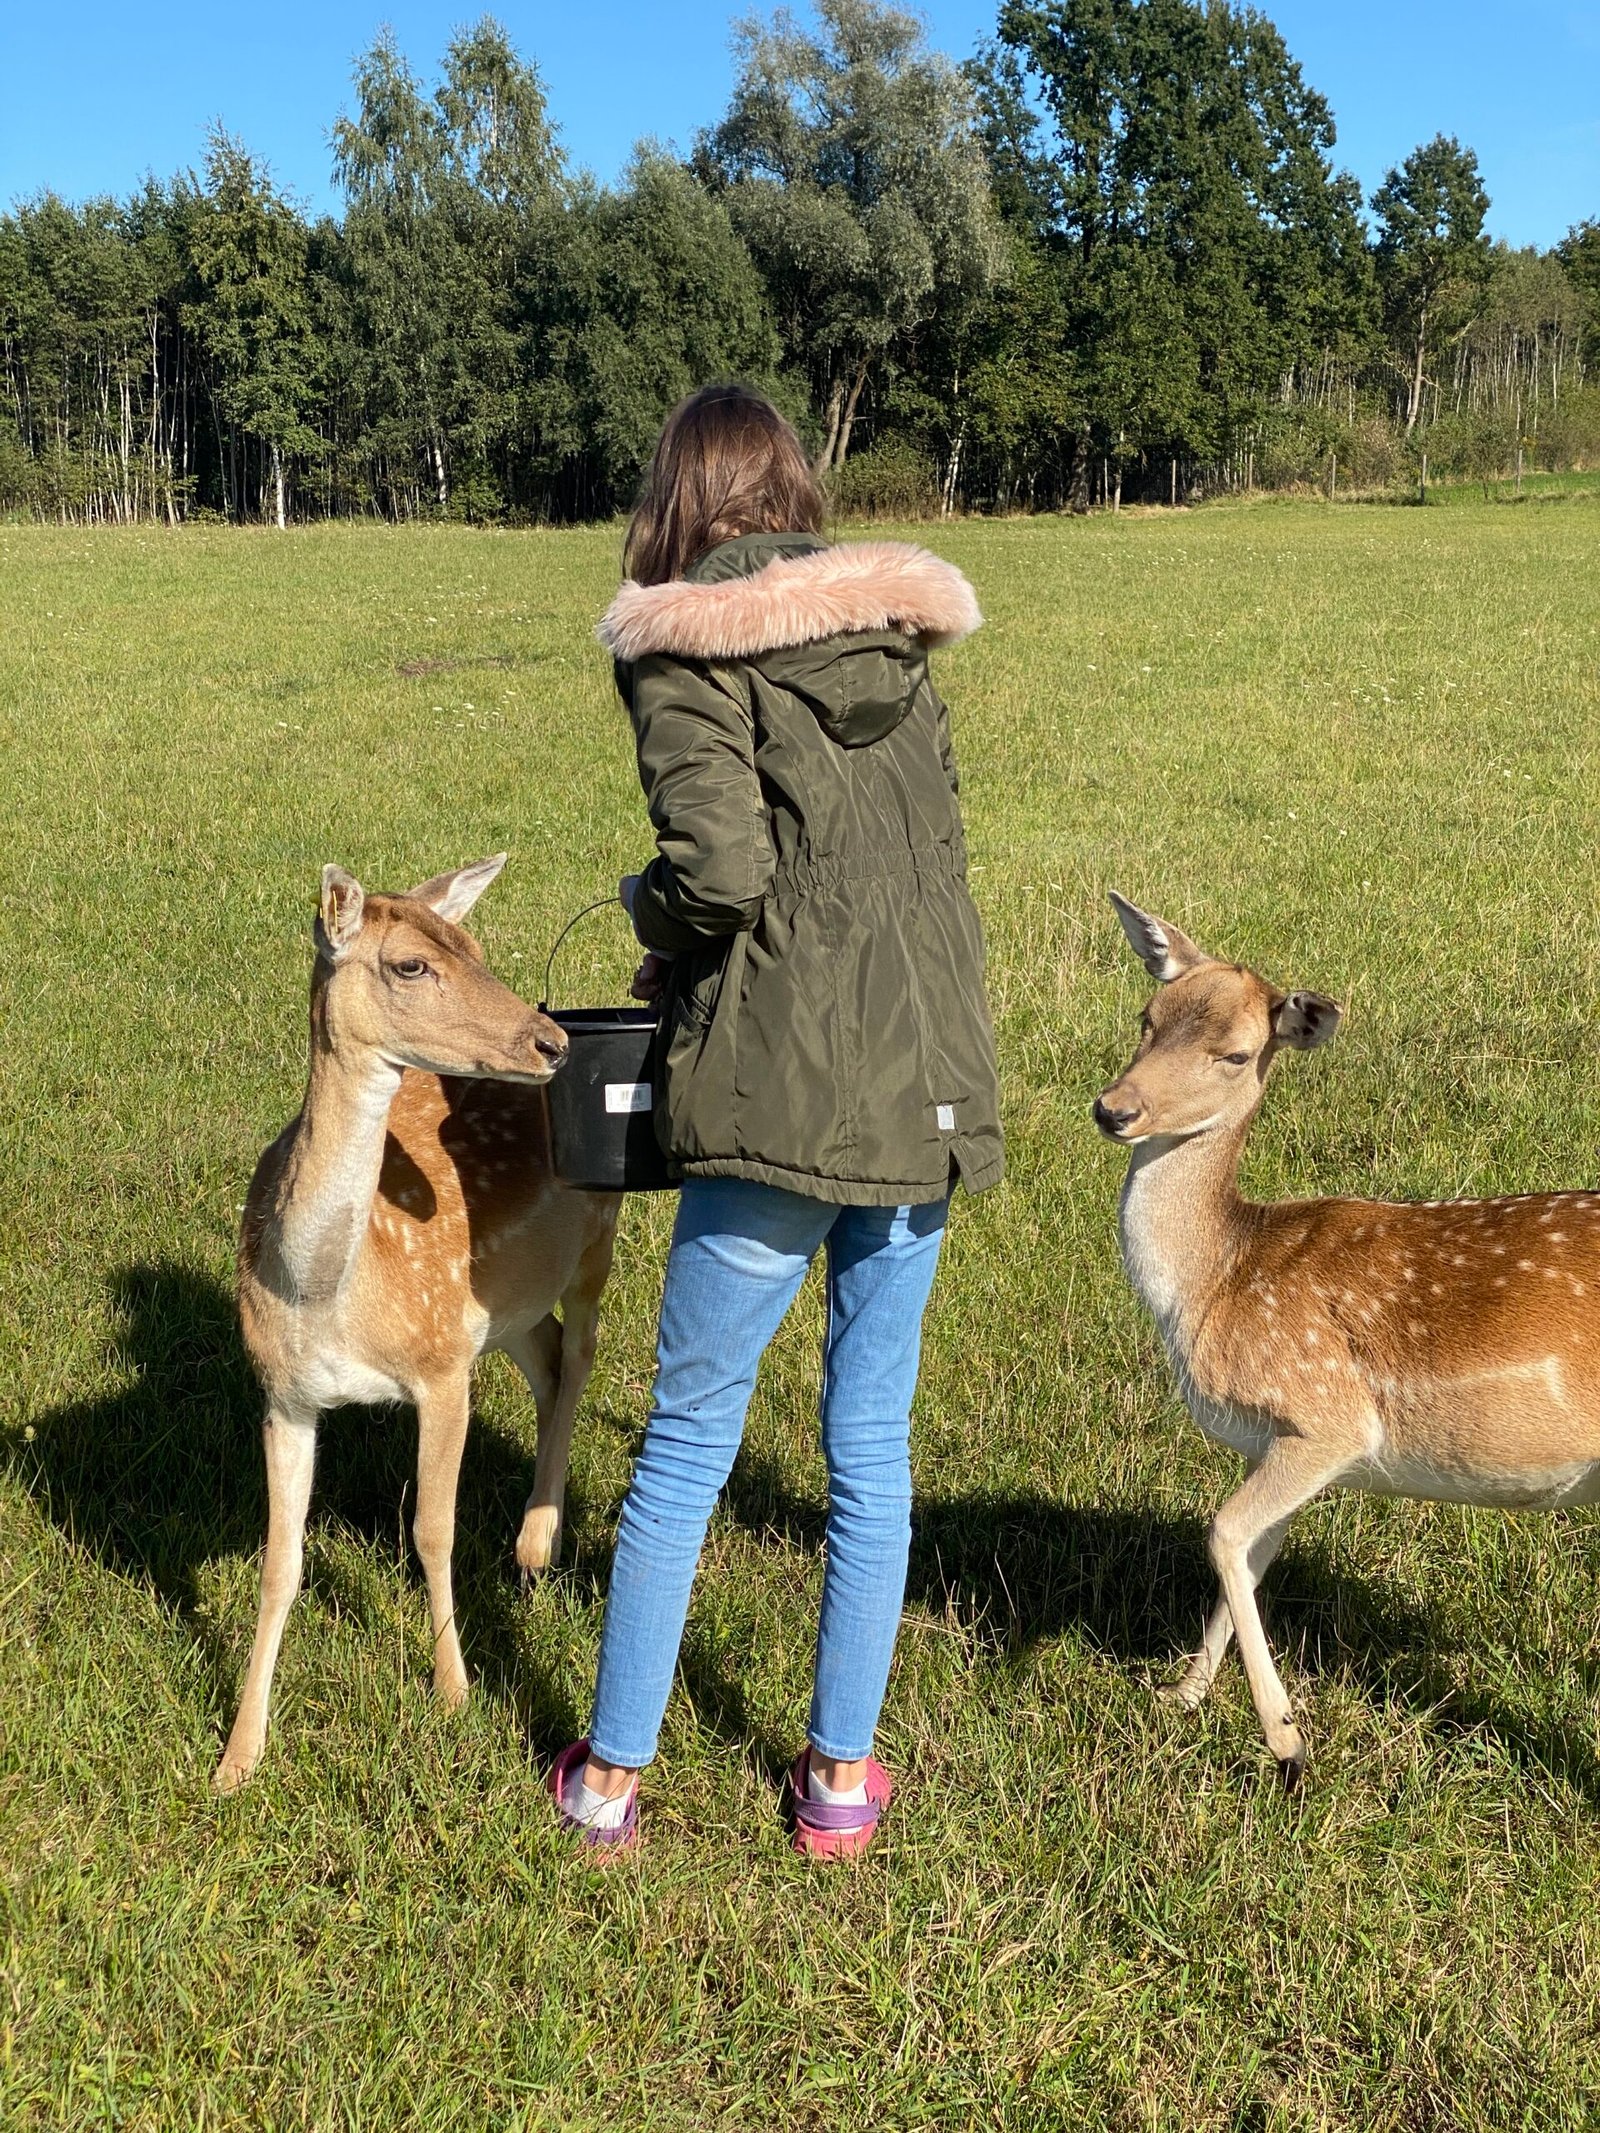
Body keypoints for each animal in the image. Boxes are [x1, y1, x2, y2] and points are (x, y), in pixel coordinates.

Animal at [215, 855, 621, 1793]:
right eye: (411, 964)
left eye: (472, 948)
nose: (550, 1042)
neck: (328, 1300)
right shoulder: (283, 1394)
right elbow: (280, 1563)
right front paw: (237, 1756)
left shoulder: (439, 1365)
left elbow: (432, 1529)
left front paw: (454, 1692)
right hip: (500, 1309)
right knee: (550, 1354)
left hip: (598, 1232)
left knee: (584, 1346)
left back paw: (537, 1540)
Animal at [1096, 893, 1600, 1784]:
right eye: (1146, 1018)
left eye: (1235, 1053)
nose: (1114, 1109)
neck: (1214, 1286)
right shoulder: (1277, 1439)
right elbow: (1251, 1554)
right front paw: (1179, 1696)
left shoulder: (1328, 1414)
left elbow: (1223, 1532)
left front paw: (1286, 1738)